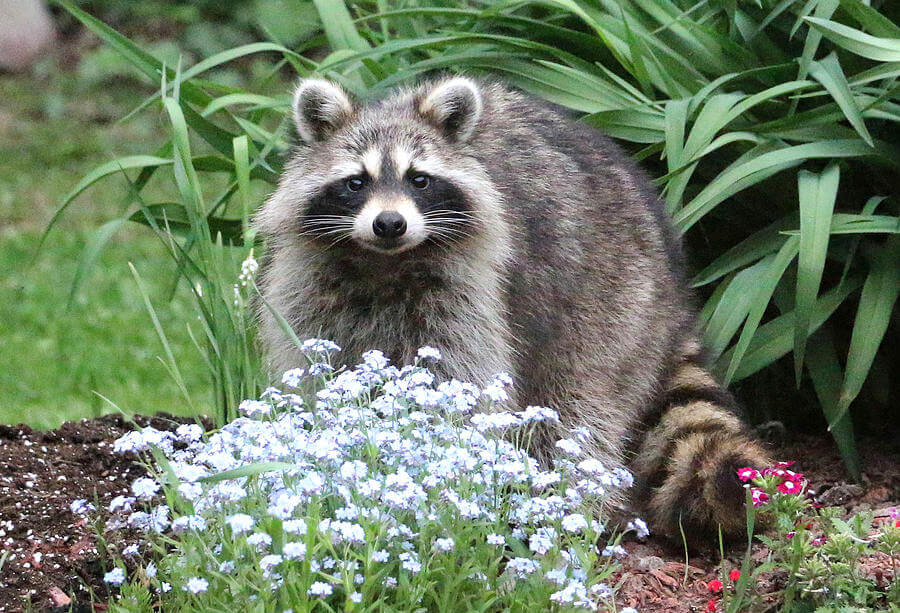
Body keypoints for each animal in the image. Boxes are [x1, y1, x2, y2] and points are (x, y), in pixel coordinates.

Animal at [254, 76, 771, 544]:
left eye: (418, 179)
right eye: (355, 182)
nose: (389, 223)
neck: (384, 262)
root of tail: (672, 282)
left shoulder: (472, 291)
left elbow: (460, 384)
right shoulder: (312, 284)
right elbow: (319, 369)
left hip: (610, 299)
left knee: (575, 406)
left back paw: (562, 503)